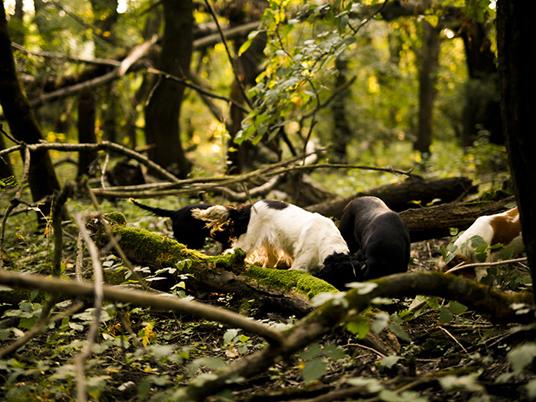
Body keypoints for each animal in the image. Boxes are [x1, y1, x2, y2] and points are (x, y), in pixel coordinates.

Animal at [191, 199, 362, 288]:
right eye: (342, 277)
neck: (326, 241)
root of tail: (248, 207)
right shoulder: (299, 266)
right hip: (248, 242)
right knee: (231, 253)